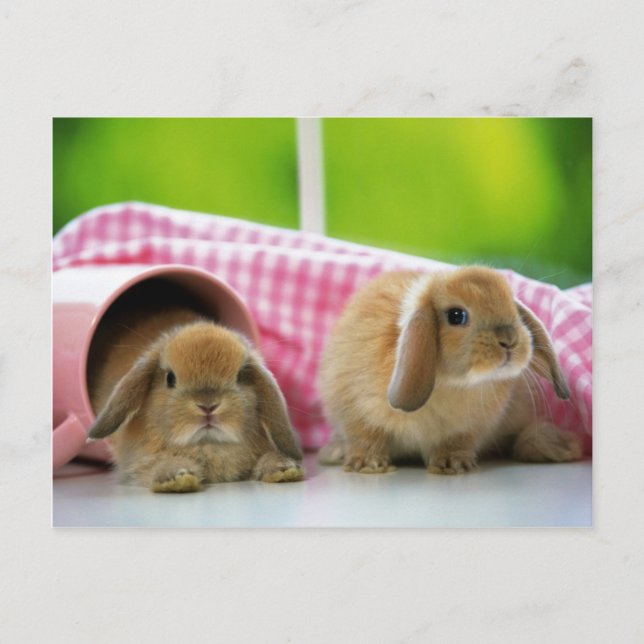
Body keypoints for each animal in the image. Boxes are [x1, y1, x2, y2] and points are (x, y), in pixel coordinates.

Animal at [87, 312, 304, 492]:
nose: (208, 406)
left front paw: (284, 469)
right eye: (170, 378)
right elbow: (158, 466)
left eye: (240, 377)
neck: (207, 444)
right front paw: (176, 478)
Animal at [318, 266, 582, 475]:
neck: (450, 383)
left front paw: (451, 465)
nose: (509, 339)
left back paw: (557, 447)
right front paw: (368, 464)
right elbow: (364, 437)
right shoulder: (354, 410)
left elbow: (457, 442)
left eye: (514, 310)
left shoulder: (470, 428)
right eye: (456, 315)